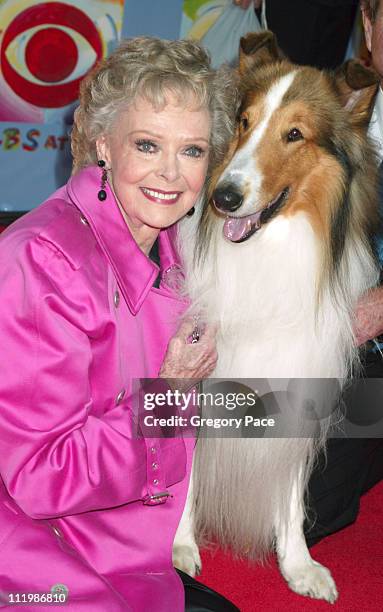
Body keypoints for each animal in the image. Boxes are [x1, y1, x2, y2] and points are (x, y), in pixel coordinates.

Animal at [173, 33, 380, 604]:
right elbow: (185, 474)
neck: (269, 249)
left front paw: (298, 564)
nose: (223, 198)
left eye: (294, 134)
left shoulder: (299, 375)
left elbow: (289, 484)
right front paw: (177, 545)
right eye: (244, 121)